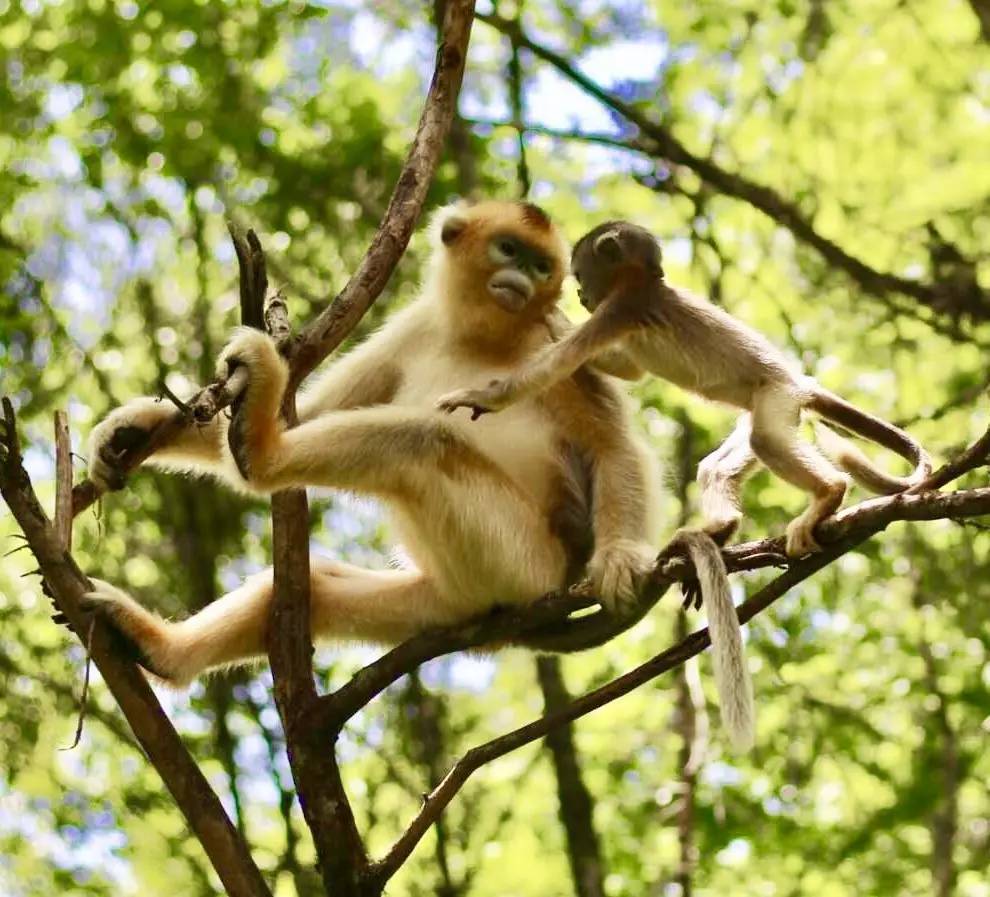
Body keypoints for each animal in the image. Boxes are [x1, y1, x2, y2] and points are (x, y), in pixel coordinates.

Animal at [438, 220, 932, 556]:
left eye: (580, 274)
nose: (578, 296)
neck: (644, 282)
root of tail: (801, 381)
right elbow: (627, 368)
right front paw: (550, 317)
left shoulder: (621, 308)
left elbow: (558, 365)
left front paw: (482, 396)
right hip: (764, 407)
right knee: (721, 465)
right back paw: (719, 528)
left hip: (777, 395)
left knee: (769, 440)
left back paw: (828, 494)